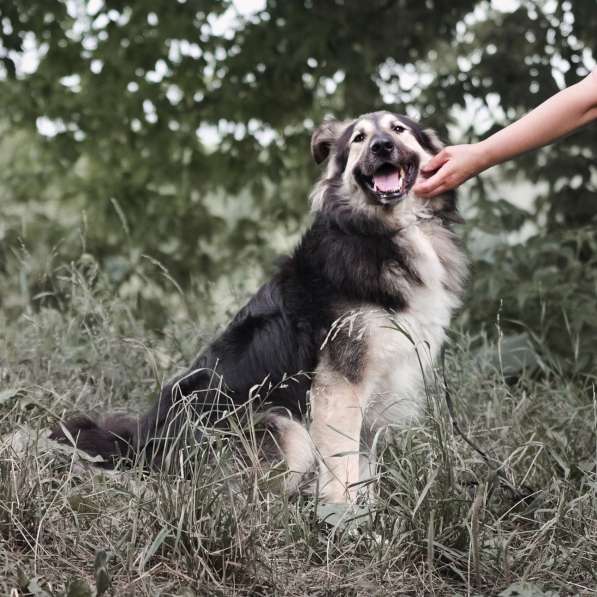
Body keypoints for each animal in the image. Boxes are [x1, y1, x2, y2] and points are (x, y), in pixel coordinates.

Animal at [51, 110, 468, 502]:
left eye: (398, 129)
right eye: (359, 138)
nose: (381, 146)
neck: (383, 231)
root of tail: (142, 447)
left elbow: (363, 471)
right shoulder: (339, 387)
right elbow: (343, 469)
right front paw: (343, 518)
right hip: (284, 427)